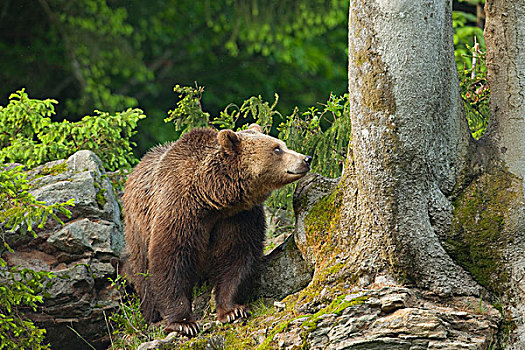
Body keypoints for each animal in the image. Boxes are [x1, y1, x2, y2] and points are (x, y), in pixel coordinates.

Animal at [122, 123, 312, 336]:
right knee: (142, 272)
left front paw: (232, 311)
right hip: (137, 228)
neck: (212, 197)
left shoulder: (238, 217)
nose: (306, 159)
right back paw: (152, 316)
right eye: (277, 148)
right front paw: (183, 322)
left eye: (282, 145)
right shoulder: (180, 209)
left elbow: (237, 257)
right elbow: (171, 259)